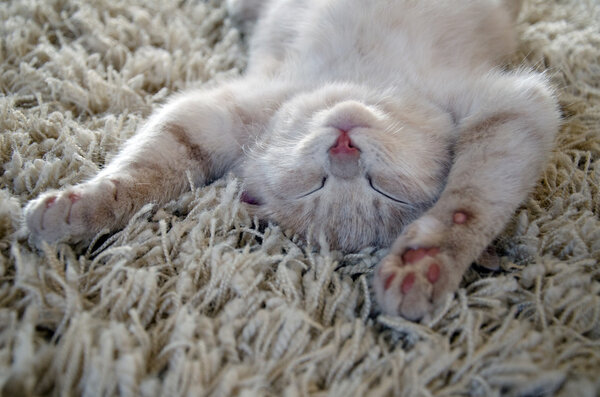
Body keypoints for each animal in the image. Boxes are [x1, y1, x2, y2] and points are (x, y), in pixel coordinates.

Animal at [23, 0, 560, 320]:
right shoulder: (215, 115)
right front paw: (82, 205)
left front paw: (426, 261)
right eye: (314, 183)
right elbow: (144, 171)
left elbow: (472, 202)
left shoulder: (517, 106)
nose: (344, 148)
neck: (362, 81)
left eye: (381, 187)